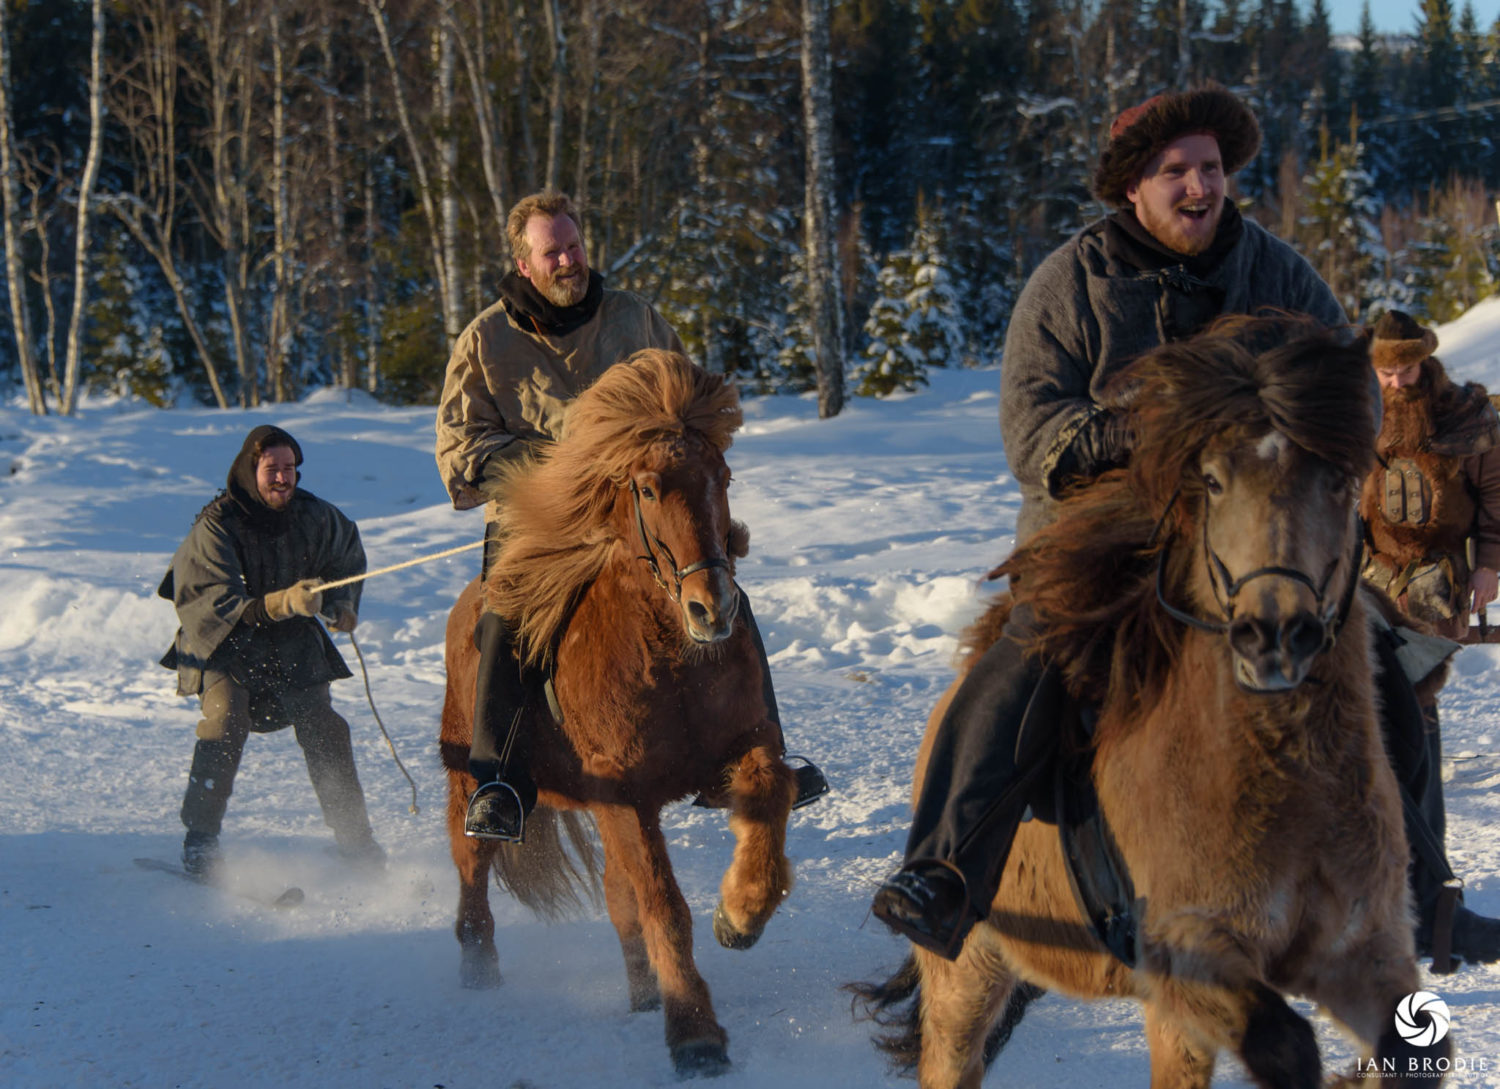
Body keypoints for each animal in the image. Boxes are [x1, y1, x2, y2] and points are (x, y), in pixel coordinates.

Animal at [438, 348, 798, 1074]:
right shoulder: (626, 794)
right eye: (649, 488)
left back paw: (641, 990)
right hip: (471, 783)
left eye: (722, 476)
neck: (668, 655)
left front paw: (740, 914)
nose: (712, 608)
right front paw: (695, 1034)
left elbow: (771, 800)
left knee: (614, 896)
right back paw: (480, 969)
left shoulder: (744, 748)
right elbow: (664, 907)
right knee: (473, 877)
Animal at [858, 318, 1440, 1089]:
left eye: (1342, 482)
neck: (1280, 779)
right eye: (1213, 481)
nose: (1276, 634)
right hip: (972, 968)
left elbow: (1414, 1052)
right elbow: (1286, 1045)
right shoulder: (1189, 957)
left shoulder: (1361, 951)